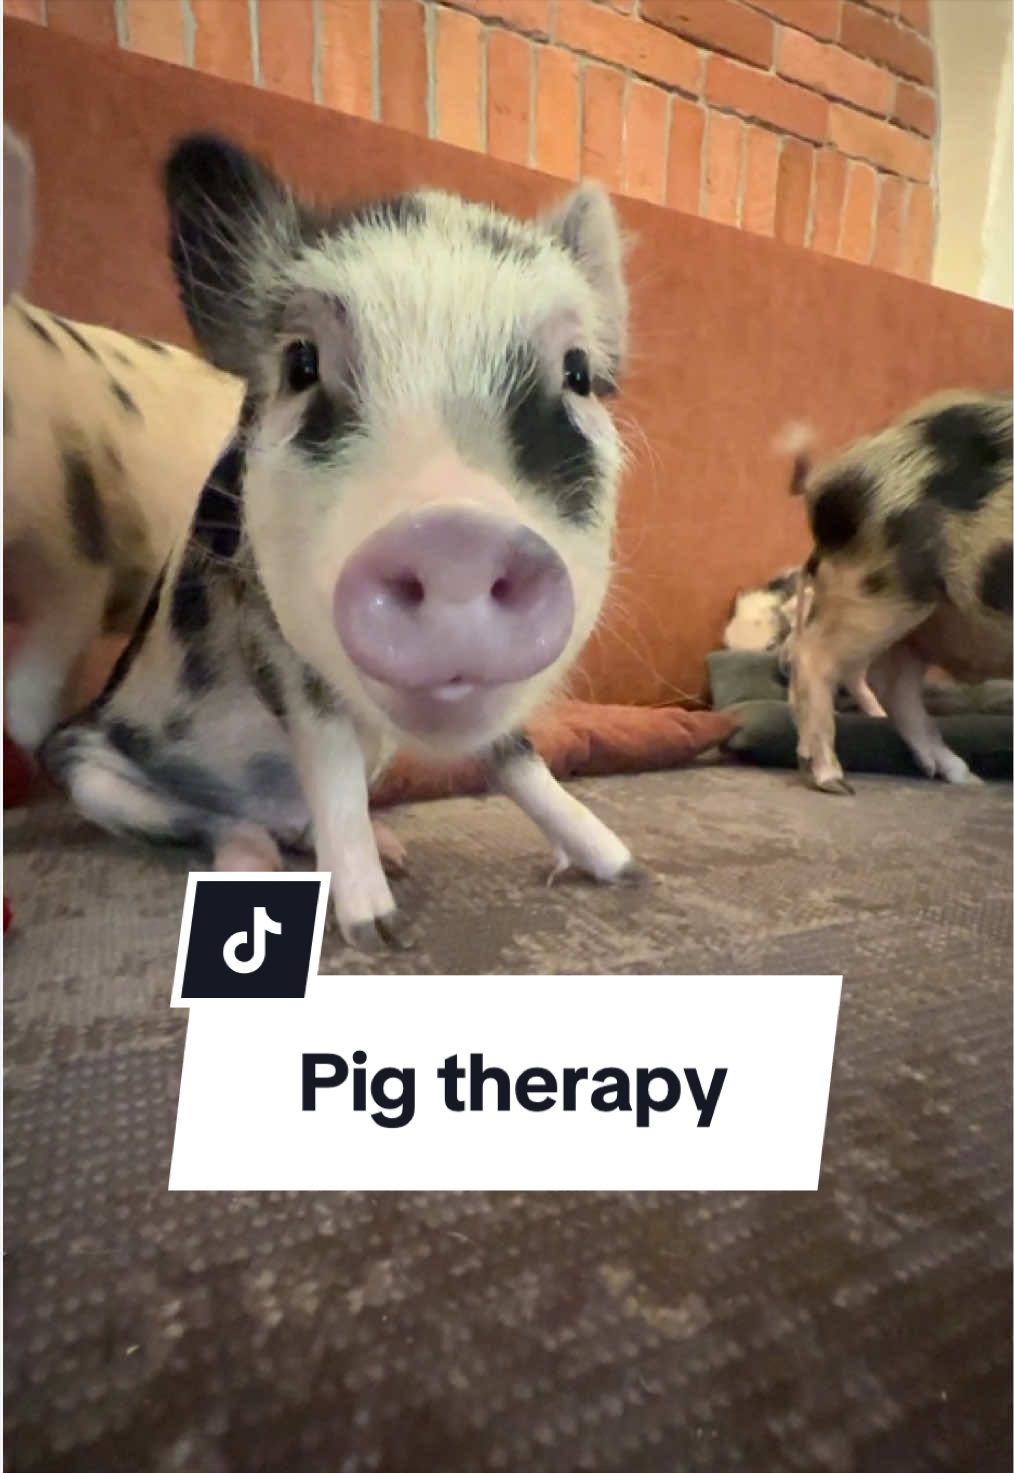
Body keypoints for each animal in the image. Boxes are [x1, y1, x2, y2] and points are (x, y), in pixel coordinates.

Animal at [42, 133, 643, 950]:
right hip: (87, 770)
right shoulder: (268, 638)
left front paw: (628, 870)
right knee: (211, 819)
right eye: (302, 363)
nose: (454, 534)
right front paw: (379, 934)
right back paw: (254, 861)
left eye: (578, 374)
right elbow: (327, 757)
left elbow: (517, 756)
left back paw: (391, 850)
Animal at [787, 389, 1013, 793]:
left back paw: (965, 778)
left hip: (922, 619)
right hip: (882, 591)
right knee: (814, 657)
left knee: (892, 686)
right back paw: (834, 782)